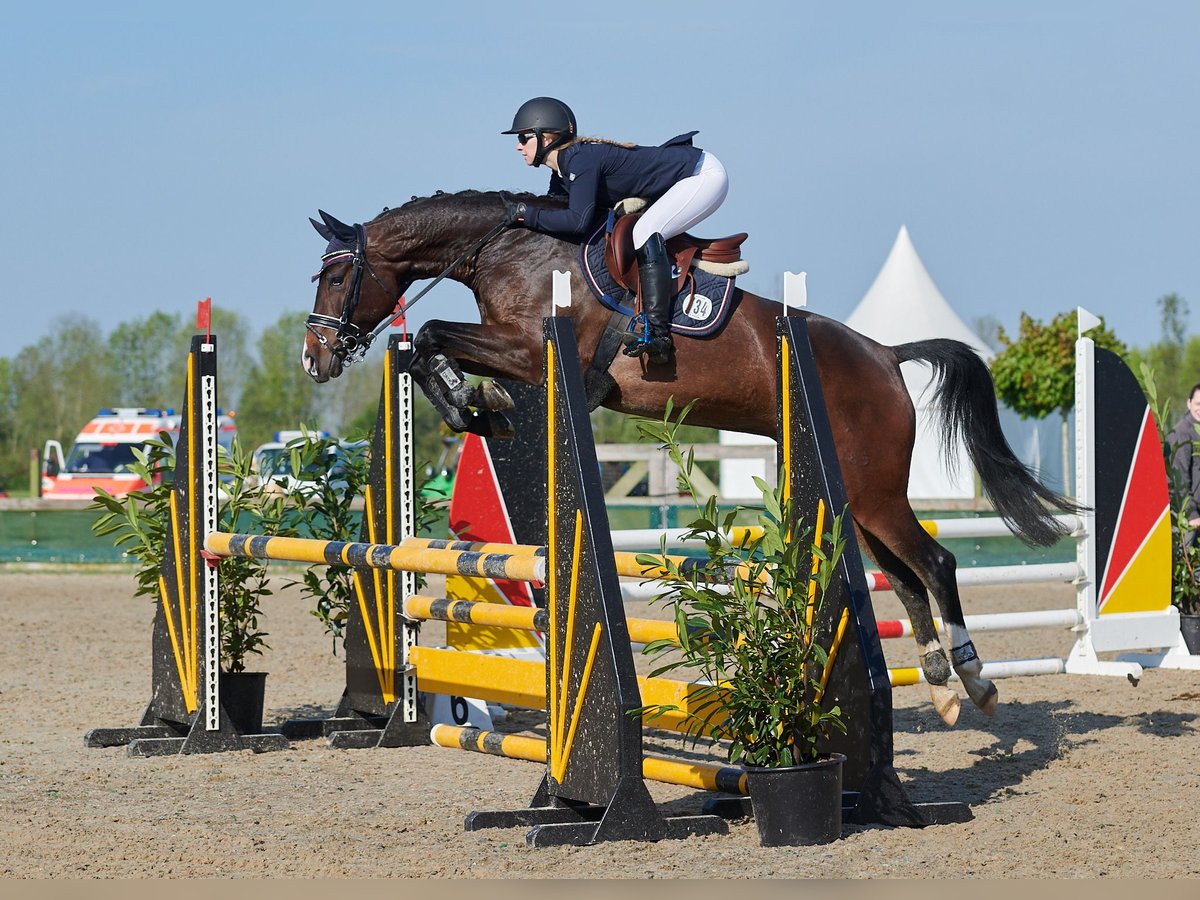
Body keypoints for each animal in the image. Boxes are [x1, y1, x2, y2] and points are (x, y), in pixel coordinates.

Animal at [300, 188, 1080, 724]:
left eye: (335, 279)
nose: (314, 359)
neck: (509, 252)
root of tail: (886, 355)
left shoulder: (531, 350)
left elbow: (432, 329)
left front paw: (470, 404)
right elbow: (429, 342)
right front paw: (471, 406)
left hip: (875, 490)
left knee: (936, 563)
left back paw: (976, 681)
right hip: (859, 500)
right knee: (906, 576)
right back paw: (942, 690)